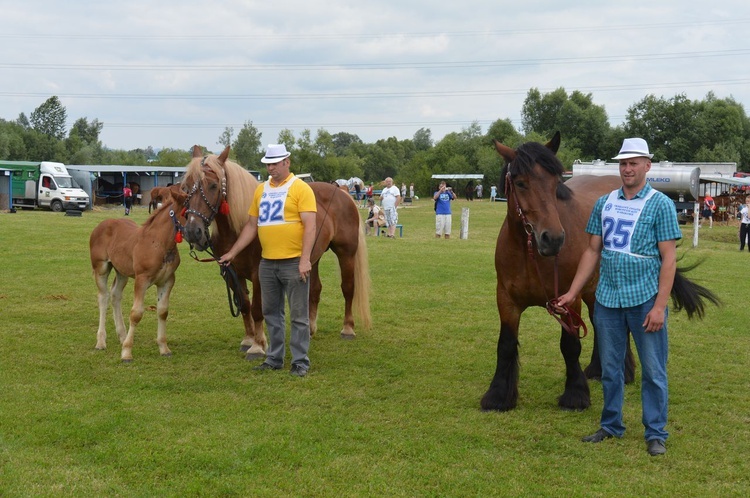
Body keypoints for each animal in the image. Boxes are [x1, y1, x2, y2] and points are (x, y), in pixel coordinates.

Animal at [90, 185, 188, 360]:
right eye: (186, 212)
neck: (160, 243)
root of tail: (102, 225)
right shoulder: (141, 279)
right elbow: (136, 313)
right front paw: (127, 353)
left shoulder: (167, 281)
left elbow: (163, 312)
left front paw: (164, 348)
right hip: (101, 268)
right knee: (103, 297)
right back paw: (101, 342)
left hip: (121, 271)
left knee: (115, 295)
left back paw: (122, 336)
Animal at [180, 146, 374, 360]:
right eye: (185, 187)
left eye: (213, 185)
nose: (193, 231)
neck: (238, 231)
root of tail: (341, 192)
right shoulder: (231, 273)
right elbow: (244, 305)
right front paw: (248, 340)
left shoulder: (259, 275)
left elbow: (257, 308)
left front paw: (258, 345)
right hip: (311, 258)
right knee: (315, 290)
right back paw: (310, 329)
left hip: (346, 253)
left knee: (348, 288)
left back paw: (347, 328)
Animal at [482, 133, 724, 412]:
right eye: (521, 183)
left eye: (555, 184)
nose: (552, 239)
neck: (528, 252)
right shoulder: (506, 300)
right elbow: (506, 345)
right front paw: (498, 396)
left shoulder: (569, 300)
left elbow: (570, 345)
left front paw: (575, 395)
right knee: (601, 324)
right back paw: (599, 370)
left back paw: (623, 372)